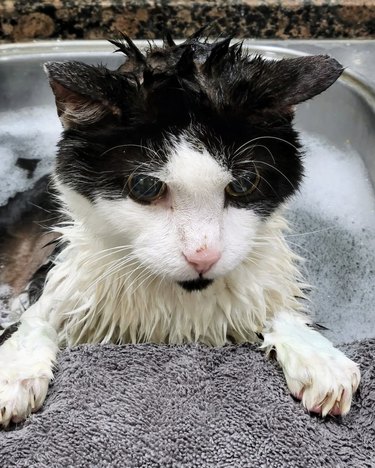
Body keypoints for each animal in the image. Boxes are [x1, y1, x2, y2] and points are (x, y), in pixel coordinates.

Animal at [0, 33, 362, 428]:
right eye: (145, 186)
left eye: (243, 184)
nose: (203, 255)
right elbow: (35, 320)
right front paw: (14, 370)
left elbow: (275, 303)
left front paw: (317, 355)